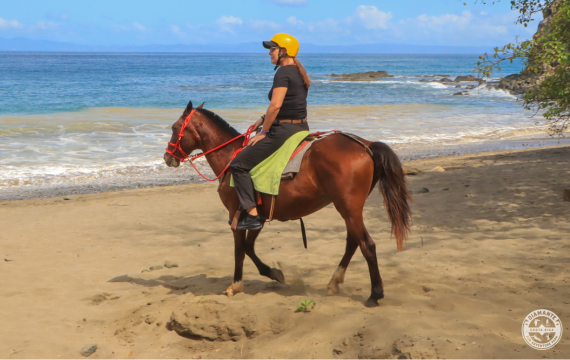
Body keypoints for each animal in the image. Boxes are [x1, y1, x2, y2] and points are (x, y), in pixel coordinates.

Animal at [162, 101, 410, 306]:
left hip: (348, 208)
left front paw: (236, 285)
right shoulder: (257, 217)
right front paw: (272, 272)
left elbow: (239, 250)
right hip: (350, 210)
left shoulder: (236, 215)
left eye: (174, 128)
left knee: (367, 245)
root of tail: (365, 145)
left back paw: (375, 294)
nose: (167, 157)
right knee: (353, 242)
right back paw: (335, 281)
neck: (231, 157)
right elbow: (250, 248)